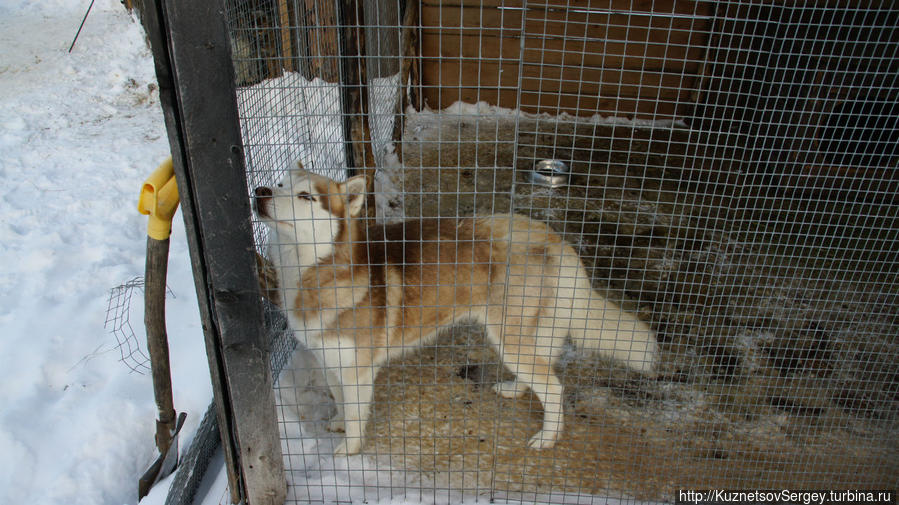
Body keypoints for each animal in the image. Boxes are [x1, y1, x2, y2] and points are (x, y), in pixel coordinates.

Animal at [255, 165, 660, 452]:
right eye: (278, 183)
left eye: (306, 196)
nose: (260, 192)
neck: (314, 270)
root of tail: (556, 239)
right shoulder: (329, 361)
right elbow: (340, 402)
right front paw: (339, 423)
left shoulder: (358, 370)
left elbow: (356, 416)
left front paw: (347, 454)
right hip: (527, 334)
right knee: (544, 371)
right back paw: (516, 388)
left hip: (509, 337)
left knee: (554, 386)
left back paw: (548, 437)